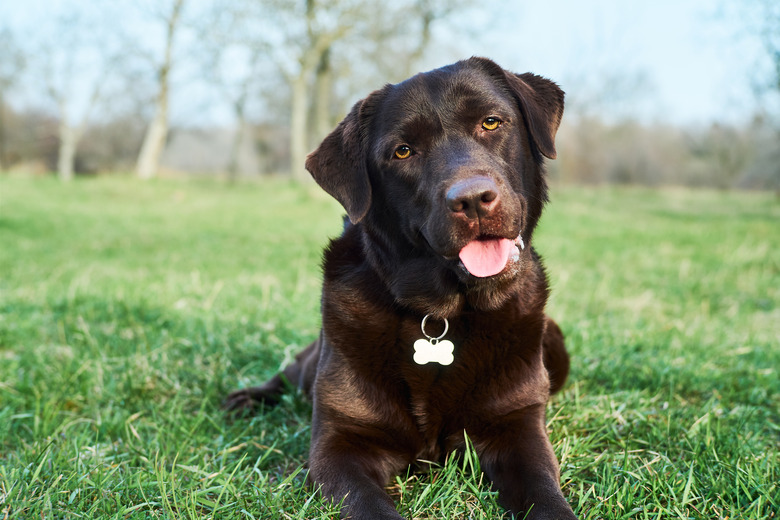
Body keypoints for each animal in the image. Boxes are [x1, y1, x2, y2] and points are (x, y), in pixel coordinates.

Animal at [222, 58, 576, 520]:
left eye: (491, 122)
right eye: (403, 151)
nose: (473, 199)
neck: (441, 313)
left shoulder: (518, 426)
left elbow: (547, 497)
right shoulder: (341, 443)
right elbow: (370, 504)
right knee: (292, 372)